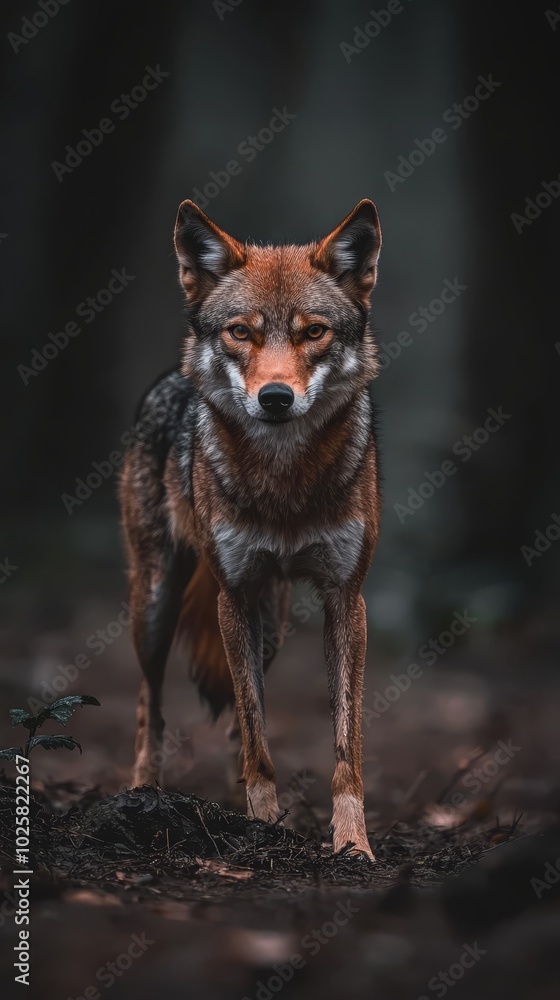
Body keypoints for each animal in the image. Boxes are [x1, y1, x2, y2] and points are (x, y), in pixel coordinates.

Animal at [120, 198, 382, 858]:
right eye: (241, 332)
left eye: (314, 331)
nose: (275, 398)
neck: (284, 484)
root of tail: (171, 376)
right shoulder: (232, 593)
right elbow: (257, 733)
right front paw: (263, 825)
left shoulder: (346, 598)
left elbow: (344, 745)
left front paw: (353, 844)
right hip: (156, 603)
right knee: (151, 702)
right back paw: (141, 792)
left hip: (273, 623)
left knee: (246, 711)